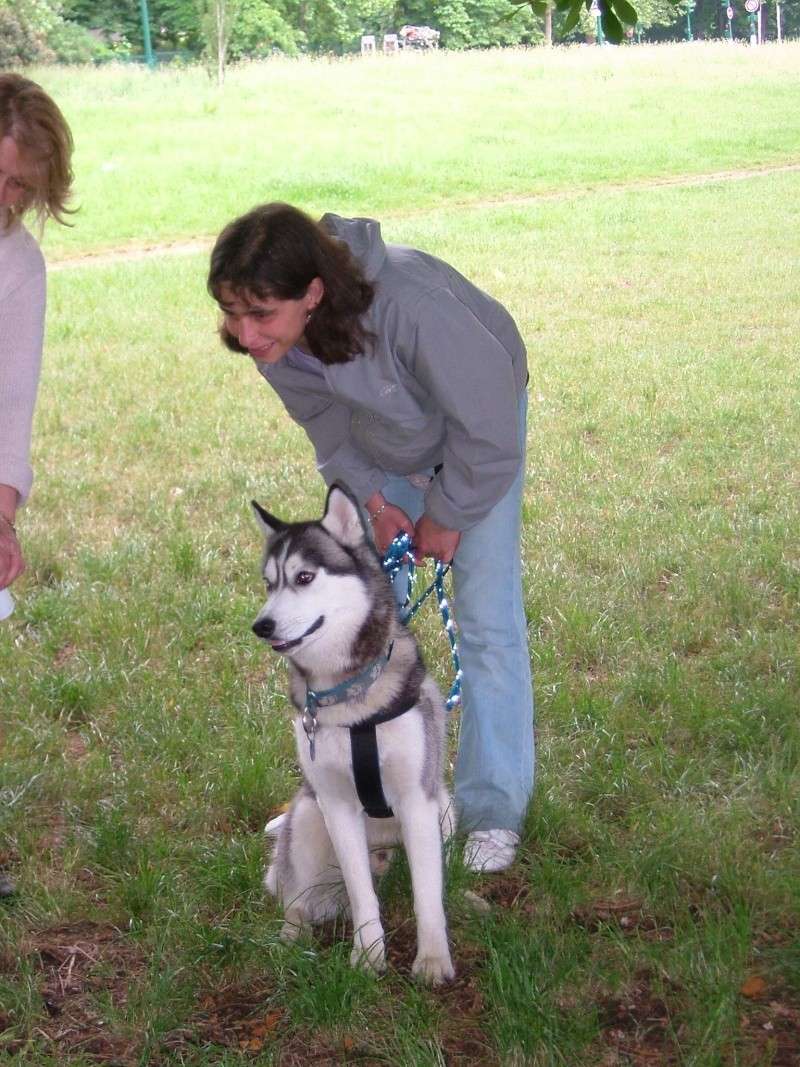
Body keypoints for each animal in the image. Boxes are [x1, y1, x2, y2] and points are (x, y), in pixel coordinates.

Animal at [253, 484, 454, 981]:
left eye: (304, 577)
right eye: (269, 583)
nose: (261, 625)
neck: (350, 695)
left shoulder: (418, 801)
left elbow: (427, 896)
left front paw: (432, 959)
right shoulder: (336, 804)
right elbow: (363, 895)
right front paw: (367, 954)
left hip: (446, 810)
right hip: (308, 815)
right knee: (296, 895)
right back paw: (292, 937)